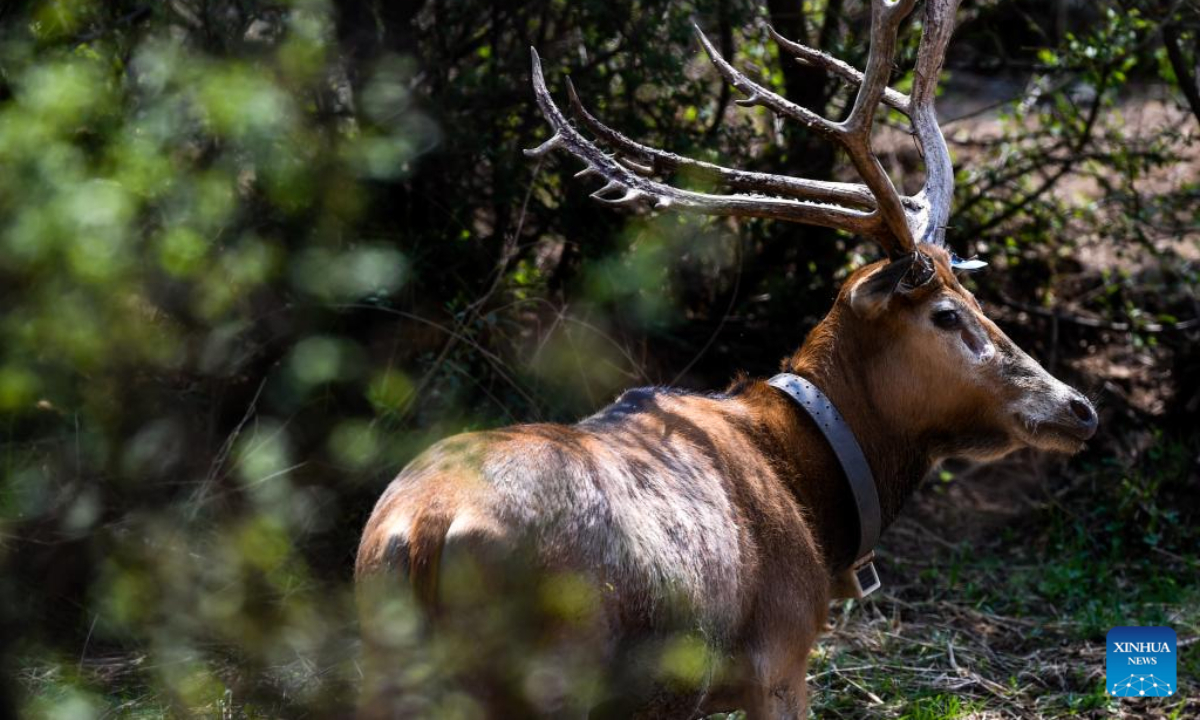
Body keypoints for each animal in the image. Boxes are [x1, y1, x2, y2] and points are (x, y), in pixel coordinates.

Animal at [355, 0, 1099, 717]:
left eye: (975, 295)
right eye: (948, 314)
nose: (1079, 408)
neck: (814, 491)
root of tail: (422, 532)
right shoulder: (780, 659)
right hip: (549, 678)